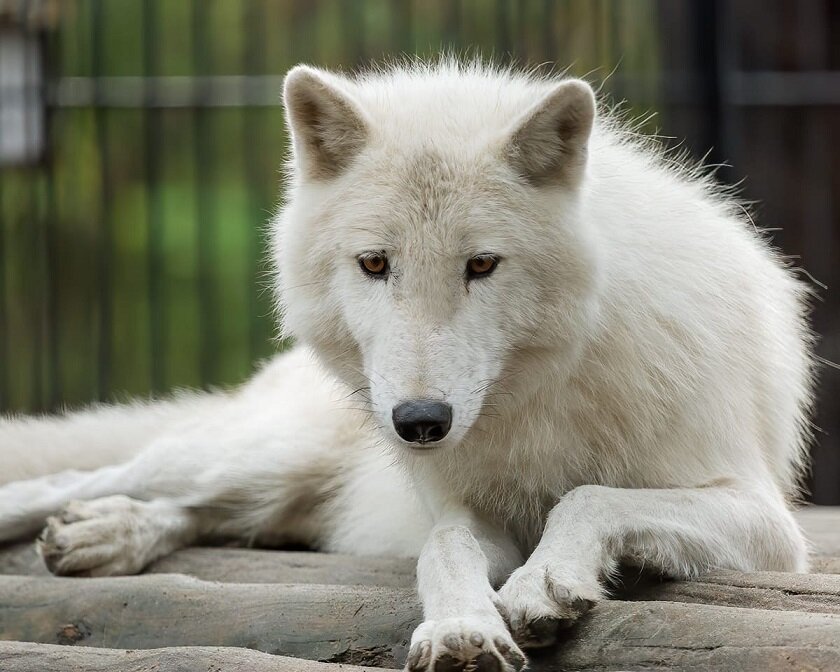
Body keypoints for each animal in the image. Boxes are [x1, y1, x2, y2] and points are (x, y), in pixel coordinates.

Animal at [0, 60, 812, 668]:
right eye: (374, 263)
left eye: (481, 264)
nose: (420, 422)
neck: (545, 396)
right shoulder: (466, 511)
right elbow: (442, 548)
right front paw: (461, 629)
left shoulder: (767, 522)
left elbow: (590, 496)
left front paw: (545, 580)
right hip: (252, 455)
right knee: (90, 477)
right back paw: (90, 525)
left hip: (274, 488)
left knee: (202, 513)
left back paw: (104, 536)